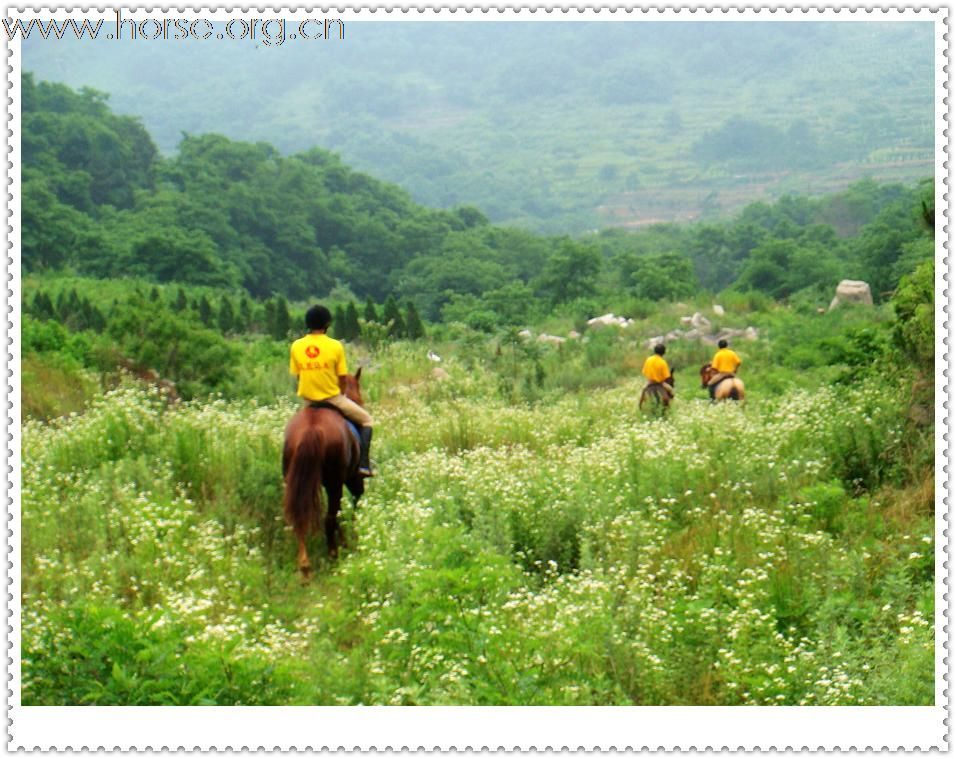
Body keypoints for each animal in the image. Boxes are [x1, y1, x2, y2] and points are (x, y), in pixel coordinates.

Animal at [282, 366, 368, 576]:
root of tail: (311, 429)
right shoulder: (352, 478)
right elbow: (352, 502)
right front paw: (349, 540)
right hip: (335, 482)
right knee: (330, 518)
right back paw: (333, 555)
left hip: (294, 481)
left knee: (300, 516)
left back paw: (305, 566)